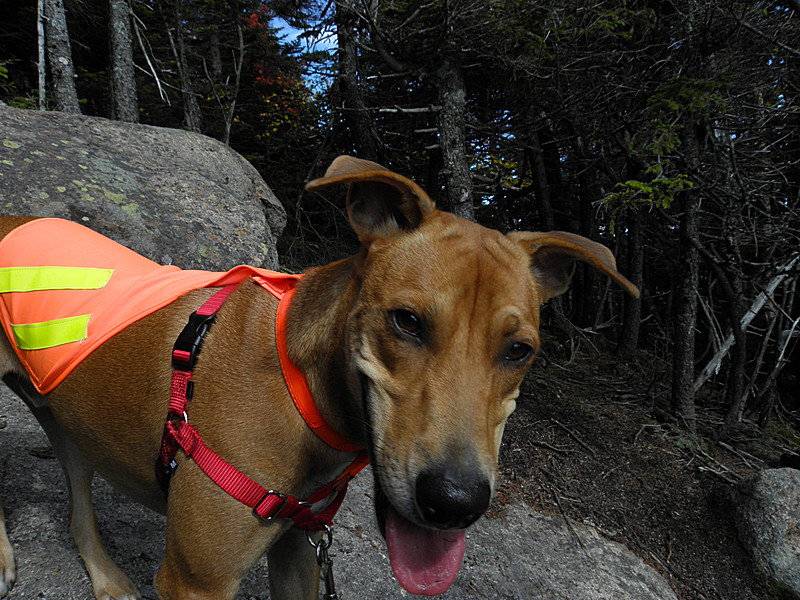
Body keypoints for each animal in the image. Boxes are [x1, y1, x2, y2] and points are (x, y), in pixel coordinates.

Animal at [0, 157, 636, 596]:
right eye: (406, 321)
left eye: (519, 350)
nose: (455, 502)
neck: (299, 390)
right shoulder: (195, 580)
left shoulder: (298, 553)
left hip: (67, 416)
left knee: (78, 503)